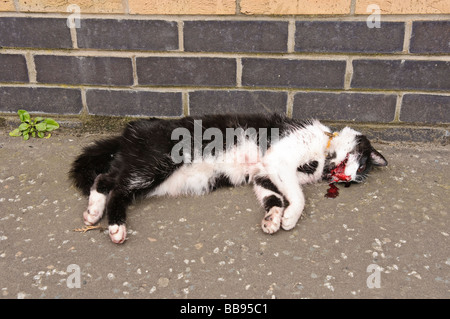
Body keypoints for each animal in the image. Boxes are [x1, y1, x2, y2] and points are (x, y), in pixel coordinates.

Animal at [70, 114, 386, 244]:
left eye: (355, 178)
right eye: (362, 162)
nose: (349, 176)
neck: (323, 149)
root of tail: (132, 129)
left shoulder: (263, 173)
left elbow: (272, 195)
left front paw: (273, 217)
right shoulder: (279, 159)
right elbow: (297, 195)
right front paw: (289, 217)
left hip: (149, 173)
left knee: (109, 179)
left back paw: (94, 212)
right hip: (156, 162)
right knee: (114, 185)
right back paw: (114, 226)